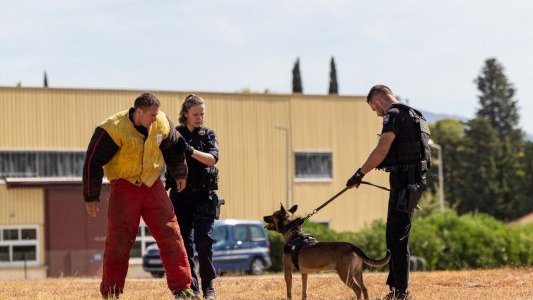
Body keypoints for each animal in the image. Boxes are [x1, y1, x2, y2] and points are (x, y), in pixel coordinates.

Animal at [262, 204, 390, 300]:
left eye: (273, 215)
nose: (263, 216)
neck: (294, 235)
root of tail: (352, 246)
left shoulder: (288, 271)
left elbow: (289, 293)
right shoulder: (304, 273)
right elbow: (304, 291)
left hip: (346, 275)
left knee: (358, 290)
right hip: (357, 273)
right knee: (364, 289)